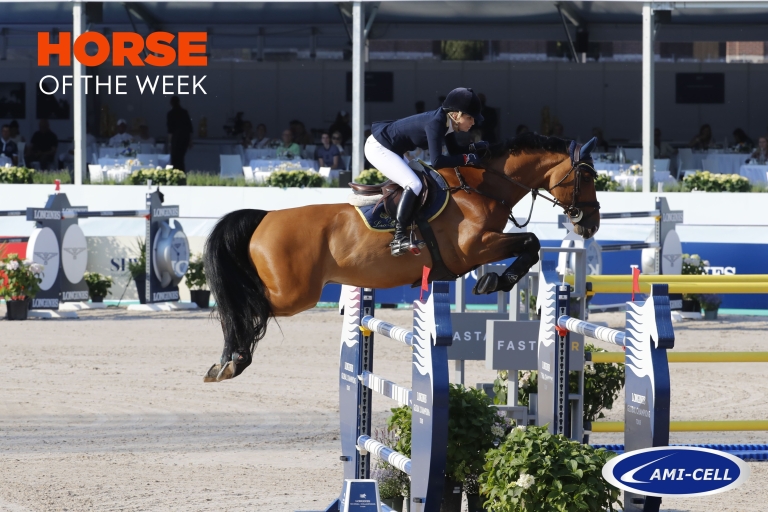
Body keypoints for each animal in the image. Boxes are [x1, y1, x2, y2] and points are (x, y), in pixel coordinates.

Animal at [203, 133, 601, 382]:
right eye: (586, 176)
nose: (591, 223)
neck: (482, 188)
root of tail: (265, 216)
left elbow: (529, 244)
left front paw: (494, 279)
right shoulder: (474, 248)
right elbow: (531, 242)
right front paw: (495, 280)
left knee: (240, 308)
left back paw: (224, 362)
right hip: (294, 294)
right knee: (244, 308)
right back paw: (233, 361)